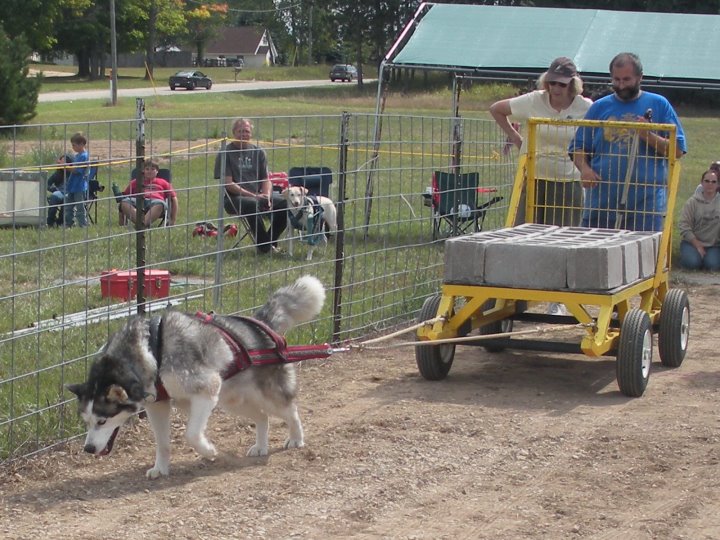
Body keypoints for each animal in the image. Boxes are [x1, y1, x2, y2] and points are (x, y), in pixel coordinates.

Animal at [67, 276, 326, 478]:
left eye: (102, 421)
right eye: (86, 421)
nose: (88, 449)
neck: (153, 349)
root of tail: (260, 324)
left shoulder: (206, 390)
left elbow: (191, 434)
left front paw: (209, 451)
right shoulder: (158, 406)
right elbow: (162, 443)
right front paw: (161, 468)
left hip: (266, 395)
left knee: (291, 411)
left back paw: (296, 439)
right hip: (232, 401)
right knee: (262, 417)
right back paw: (261, 446)